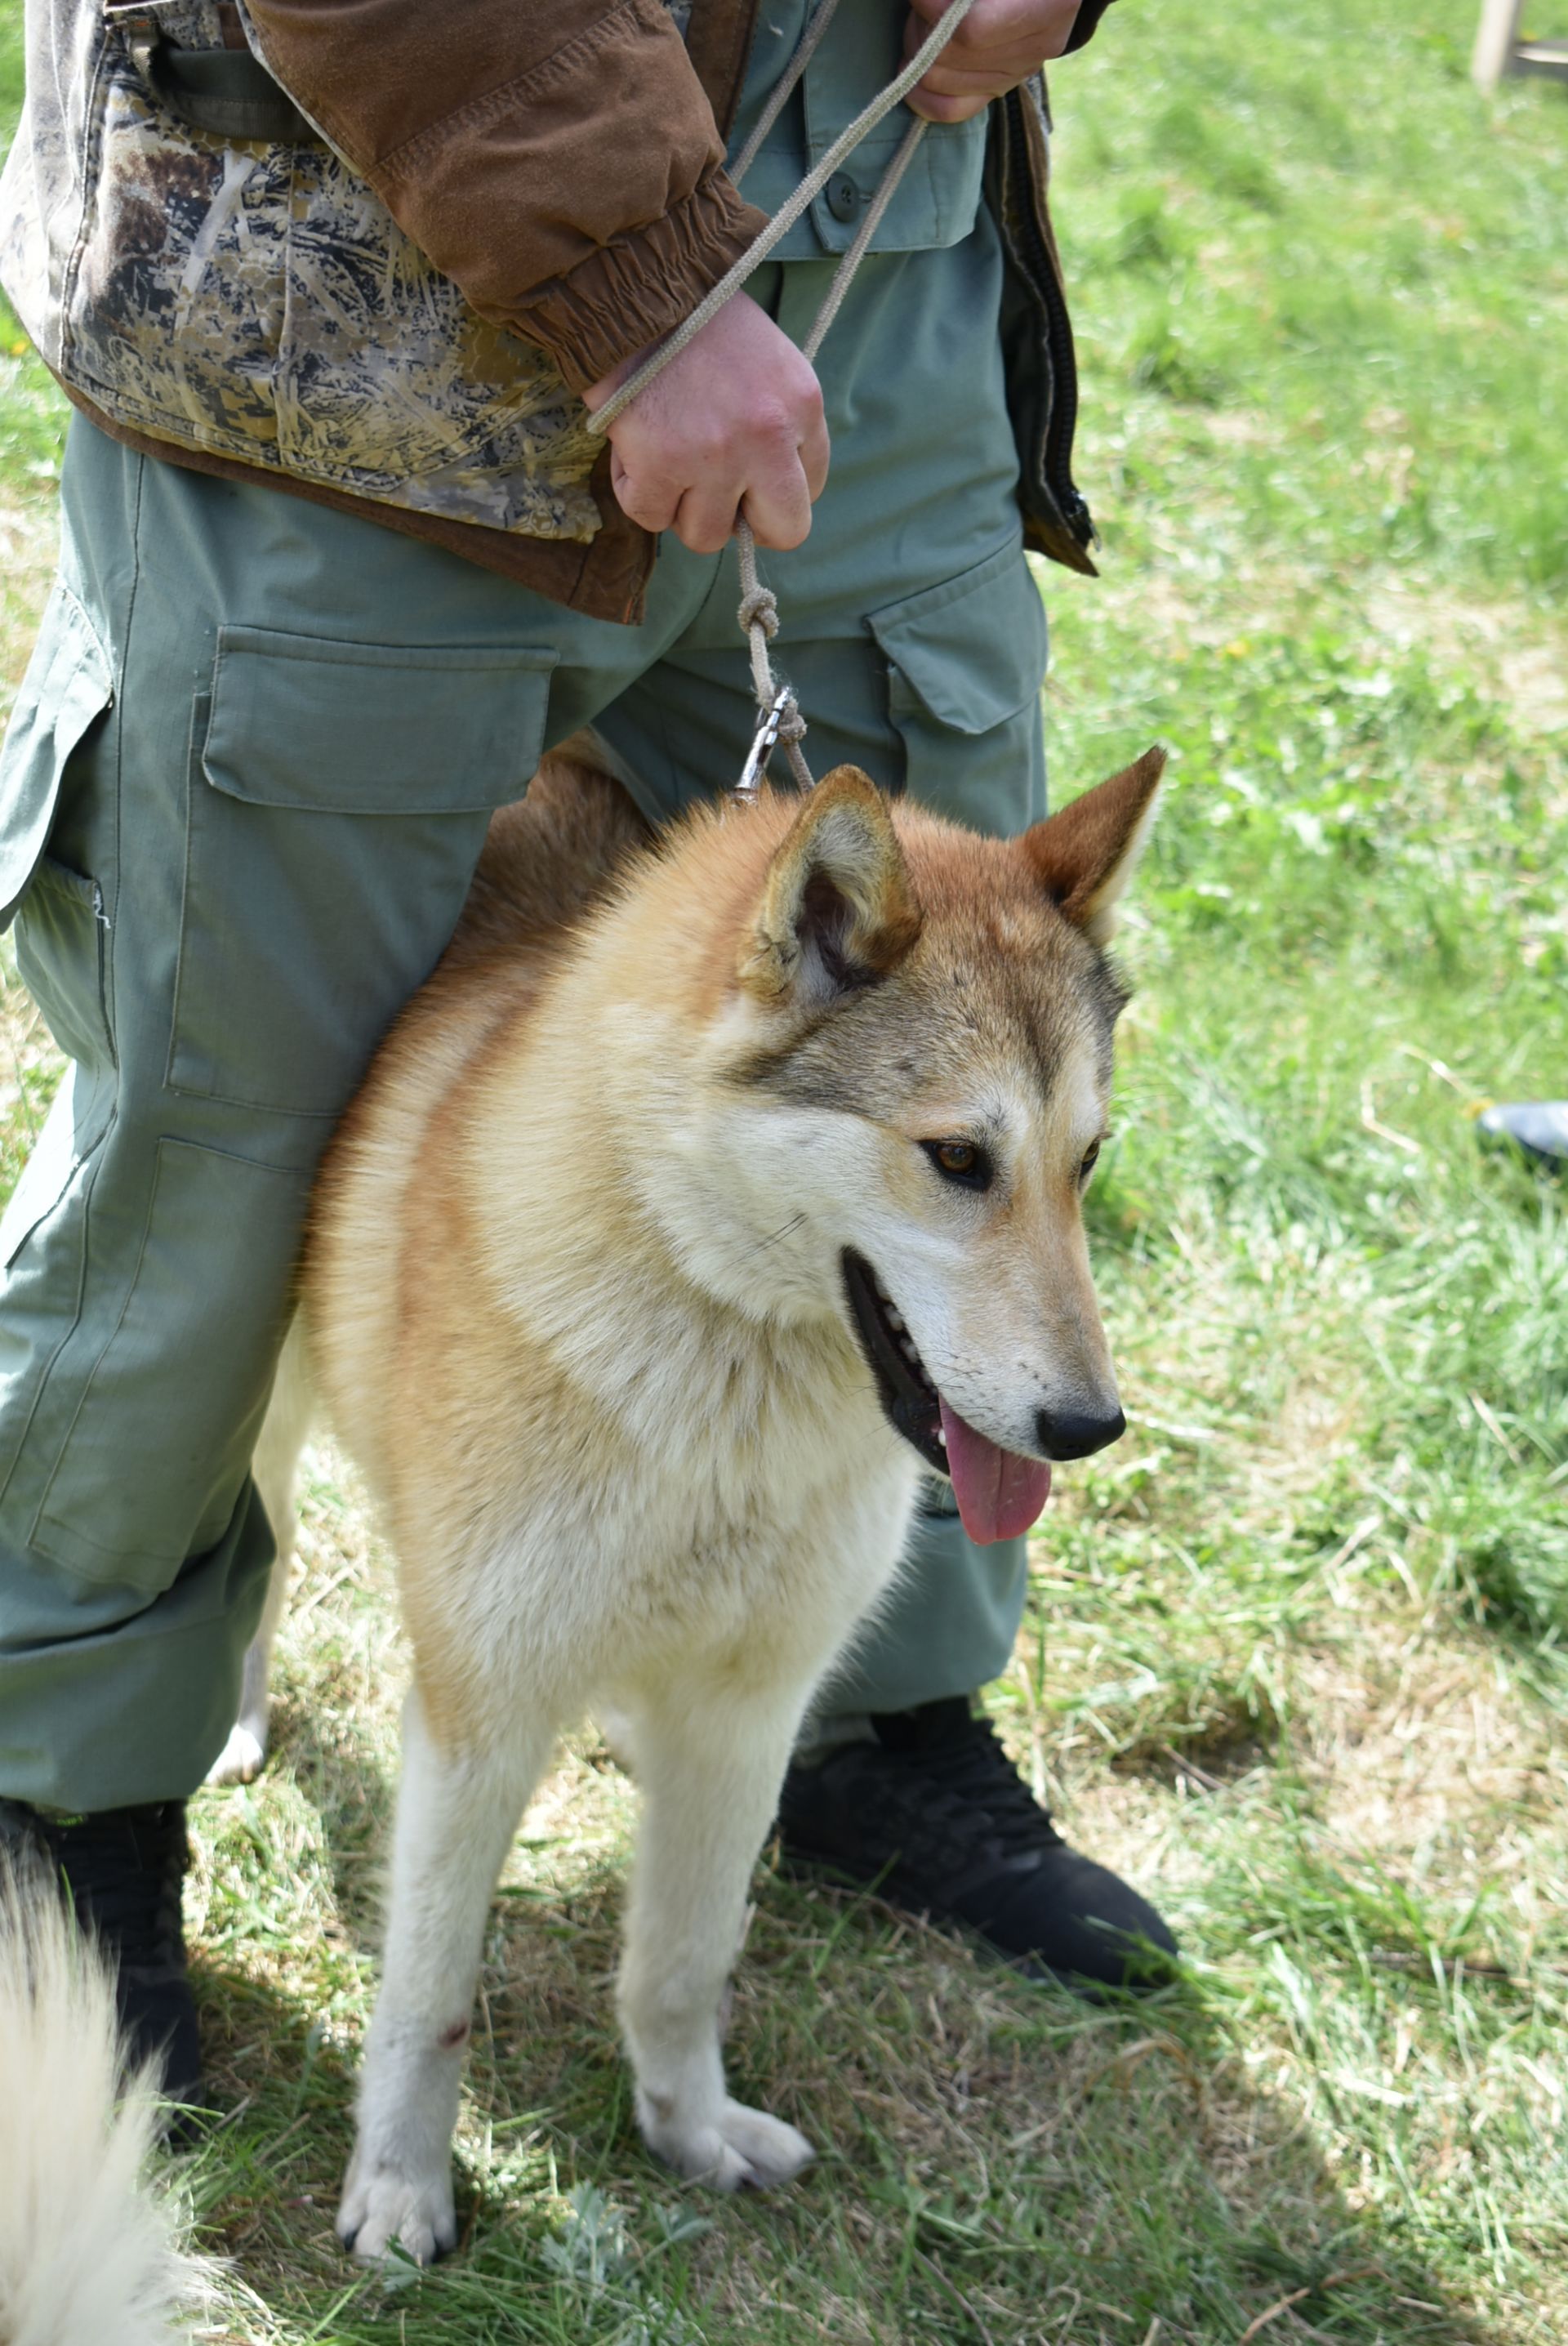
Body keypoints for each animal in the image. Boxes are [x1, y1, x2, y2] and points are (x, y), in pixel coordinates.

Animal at [0, 741, 1157, 2317]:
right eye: (957, 1159)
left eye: (1086, 1162)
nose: (1090, 1427)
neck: (716, 1350)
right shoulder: (476, 1713)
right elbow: (428, 1994)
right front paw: (402, 2195)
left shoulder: (748, 1715)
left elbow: (681, 1961)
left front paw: (688, 2129)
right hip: (245, 1353)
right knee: (248, 1528)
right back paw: (226, 1720)